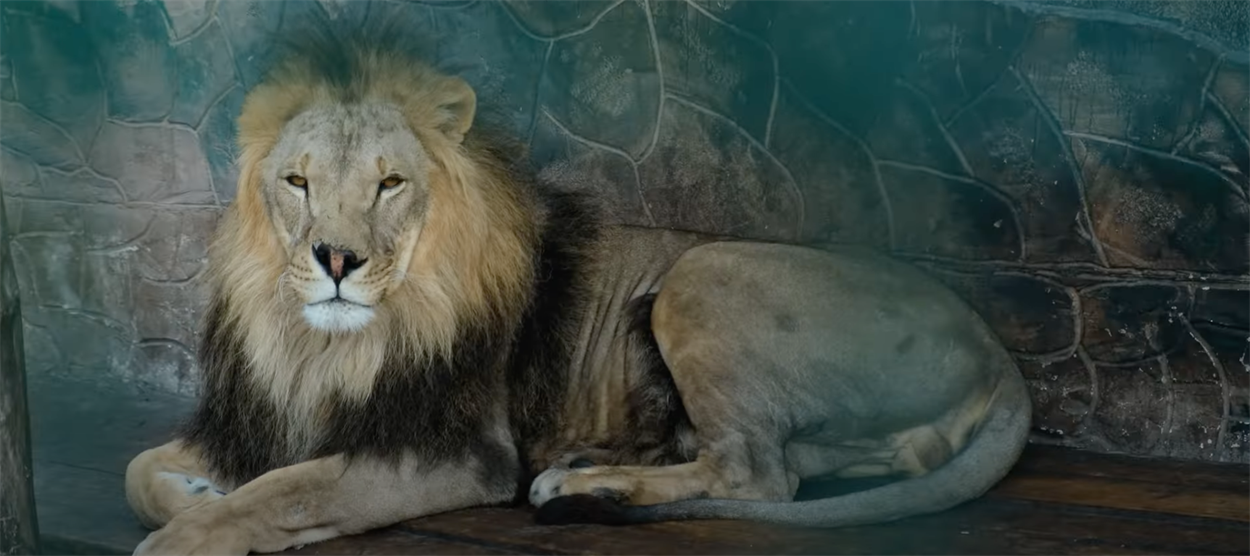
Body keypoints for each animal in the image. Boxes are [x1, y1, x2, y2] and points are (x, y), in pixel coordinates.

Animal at [122, 26, 1032, 556]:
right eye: (298, 182)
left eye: (389, 184)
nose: (336, 259)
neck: (321, 343)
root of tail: (997, 349)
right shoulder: (266, 418)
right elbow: (143, 472)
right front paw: (193, 495)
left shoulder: (458, 449)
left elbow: (290, 490)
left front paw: (196, 530)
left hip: (697, 275)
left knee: (759, 476)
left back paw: (580, 485)